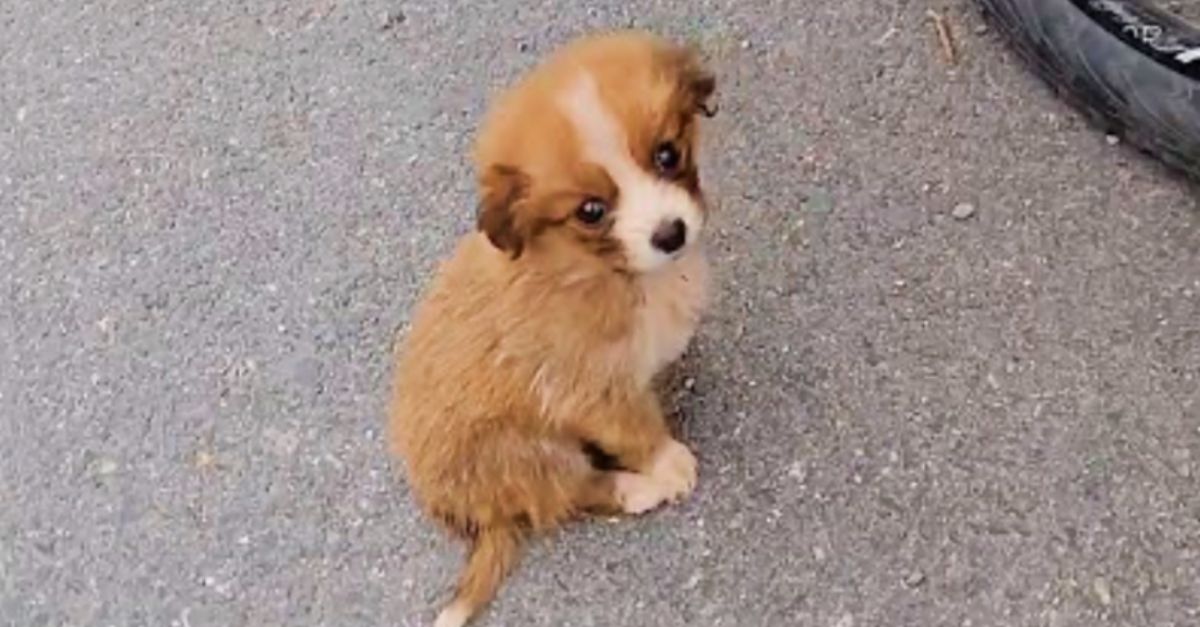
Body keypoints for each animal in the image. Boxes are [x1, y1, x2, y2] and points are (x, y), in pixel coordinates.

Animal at [388, 30, 715, 624]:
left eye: (667, 154)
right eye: (591, 210)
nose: (671, 233)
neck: (597, 268)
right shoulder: (586, 386)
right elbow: (634, 427)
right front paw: (666, 460)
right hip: (526, 454)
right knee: (567, 493)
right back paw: (639, 489)